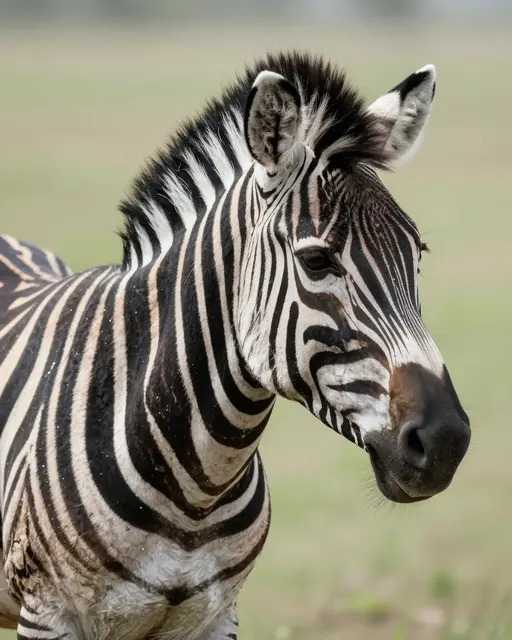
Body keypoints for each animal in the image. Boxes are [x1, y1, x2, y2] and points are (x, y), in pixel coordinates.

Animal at [0, 52, 470, 639]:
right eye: (317, 260)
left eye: (418, 254)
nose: (446, 440)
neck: (197, 488)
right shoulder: (49, 612)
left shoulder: (215, 615)